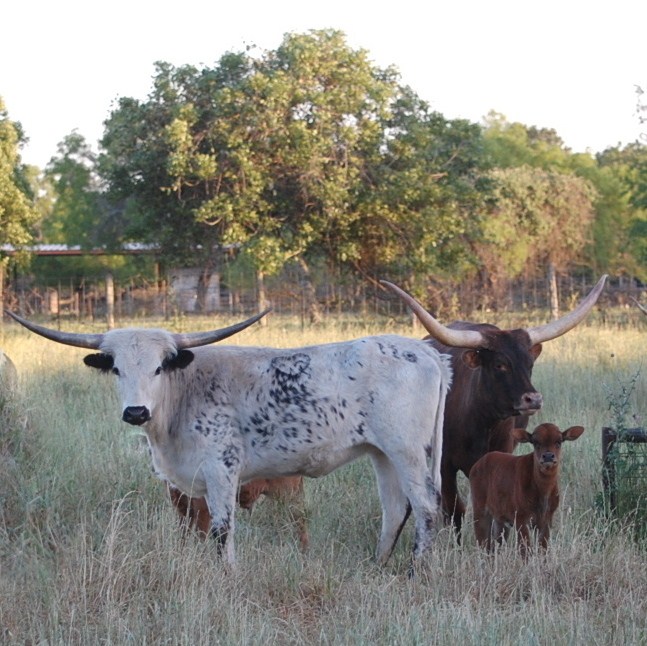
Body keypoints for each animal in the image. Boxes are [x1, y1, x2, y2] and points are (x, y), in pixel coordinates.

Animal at [168, 475, 309, 550]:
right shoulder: (182, 508)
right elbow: (183, 538)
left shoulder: (202, 509)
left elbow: (200, 539)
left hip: (287, 496)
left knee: (300, 525)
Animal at [380, 275, 606, 539]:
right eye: (500, 364)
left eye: (529, 363)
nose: (533, 399)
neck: (480, 423)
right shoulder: (446, 464)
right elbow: (455, 509)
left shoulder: (503, 453)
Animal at [469, 422, 585, 556]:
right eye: (535, 442)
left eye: (559, 441)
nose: (548, 456)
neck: (542, 494)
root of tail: (476, 465)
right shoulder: (520, 517)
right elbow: (525, 551)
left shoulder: (547, 518)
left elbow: (543, 549)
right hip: (480, 509)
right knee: (482, 543)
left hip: (500, 518)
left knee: (495, 544)